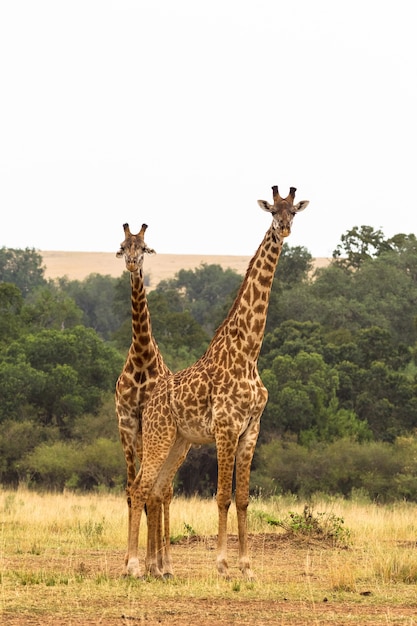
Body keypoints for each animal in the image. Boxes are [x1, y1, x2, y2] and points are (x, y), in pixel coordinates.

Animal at [125, 184, 308, 576]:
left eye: (294, 212)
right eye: (273, 210)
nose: (284, 228)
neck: (248, 353)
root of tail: (150, 402)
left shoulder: (251, 430)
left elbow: (243, 499)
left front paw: (247, 566)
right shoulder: (226, 427)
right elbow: (223, 496)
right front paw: (223, 564)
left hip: (178, 443)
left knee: (155, 490)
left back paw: (153, 568)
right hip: (158, 437)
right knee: (138, 488)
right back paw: (132, 565)